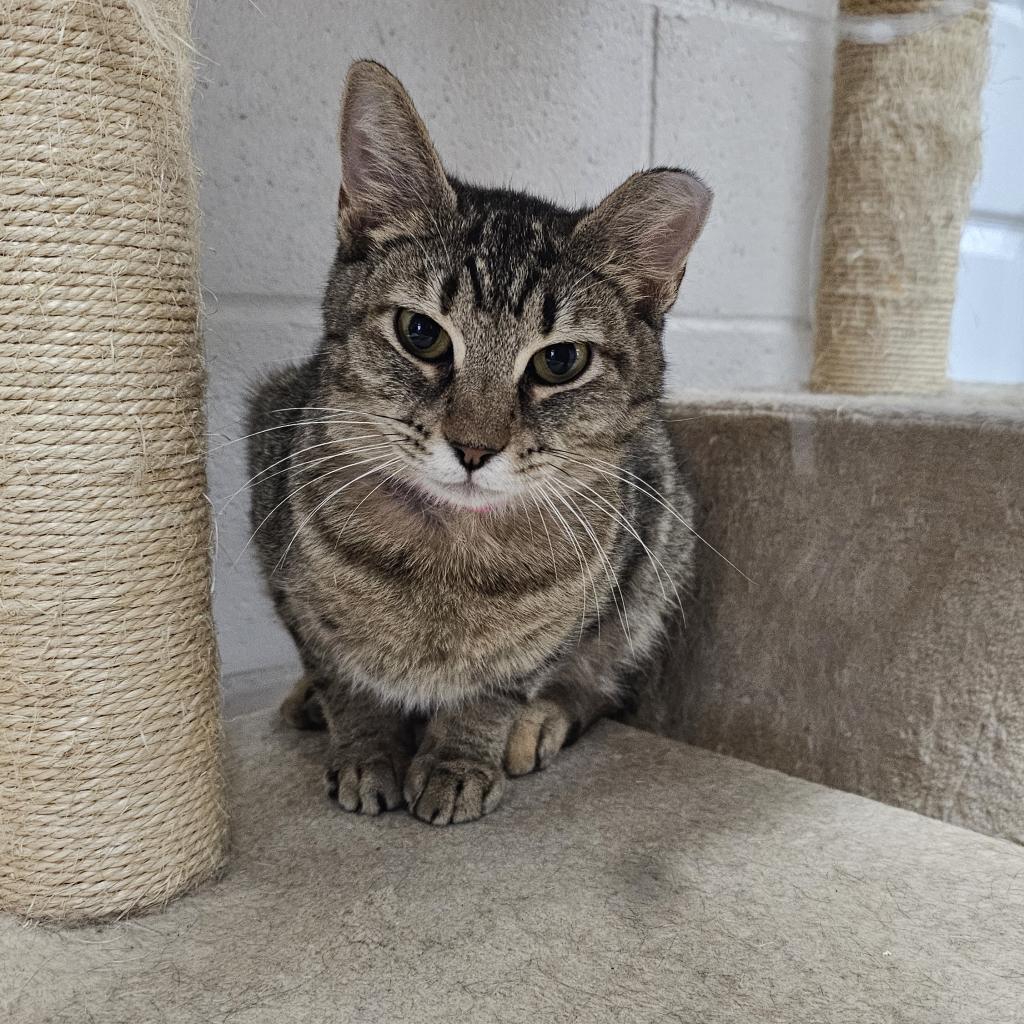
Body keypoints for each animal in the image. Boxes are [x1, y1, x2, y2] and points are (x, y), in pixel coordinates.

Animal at [247, 59, 712, 823]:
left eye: (560, 361)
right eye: (420, 333)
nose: (473, 447)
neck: (448, 559)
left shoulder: (569, 618)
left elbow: (497, 692)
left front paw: (459, 761)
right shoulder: (285, 563)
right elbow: (344, 677)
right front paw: (365, 750)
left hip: (660, 552)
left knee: (601, 684)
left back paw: (539, 724)